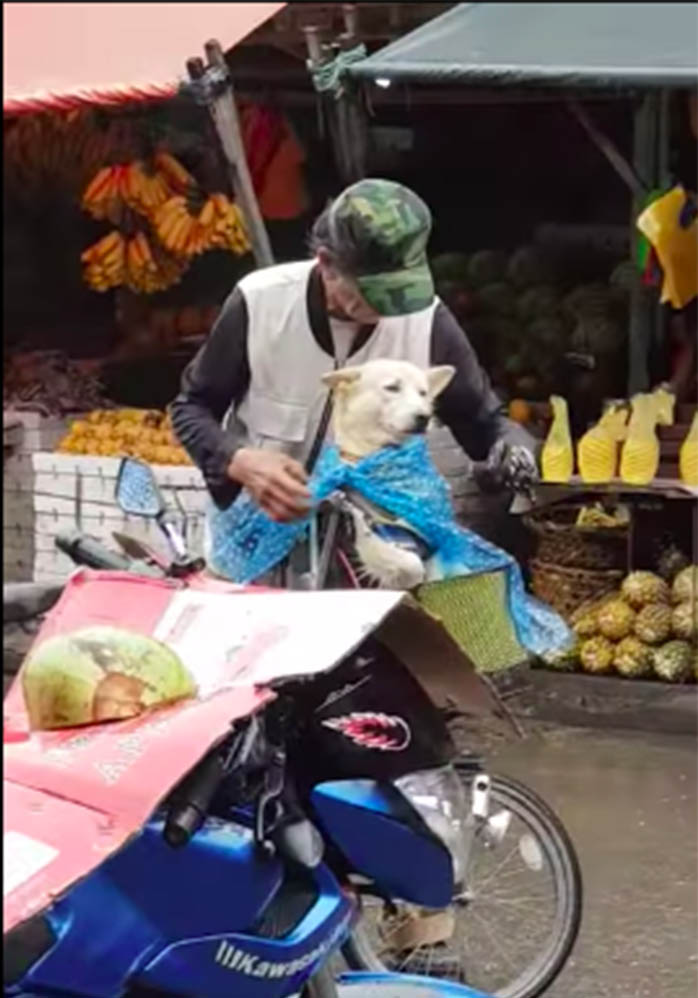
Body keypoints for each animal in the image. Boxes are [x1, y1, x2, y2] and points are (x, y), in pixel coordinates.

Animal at [320, 362, 452, 588]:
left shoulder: (432, 544)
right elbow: (411, 564)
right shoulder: (383, 535)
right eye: (392, 388)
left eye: (423, 393)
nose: (424, 418)